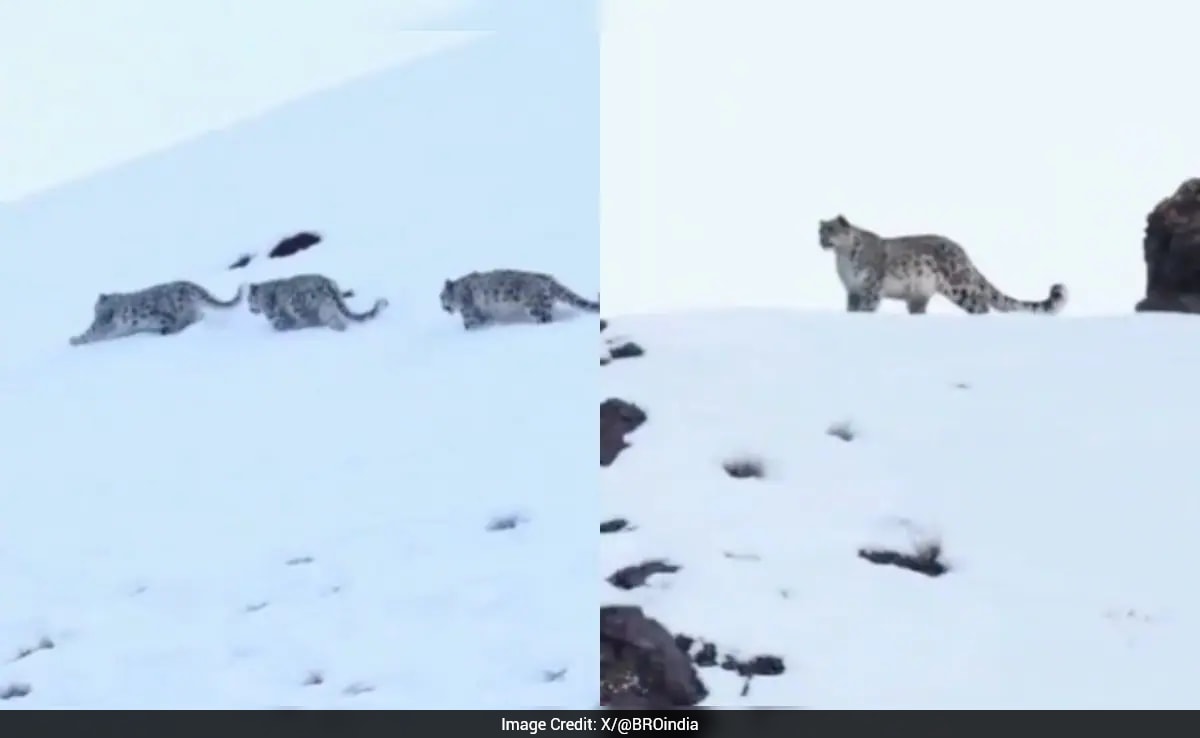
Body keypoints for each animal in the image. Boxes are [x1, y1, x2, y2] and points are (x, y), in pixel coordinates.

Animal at [439, 269, 599, 329]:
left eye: (441, 297)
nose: (442, 307)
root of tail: (548, 279)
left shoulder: (469, 313)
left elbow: (470, 324)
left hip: (535, 306)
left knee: (545, 318)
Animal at [818, 215, 1068, 315]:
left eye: (832, 230)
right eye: (820, 230)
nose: (821, 240)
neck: (844, 259)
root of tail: (962, 253)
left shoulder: (870, 288)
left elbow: (868, 307)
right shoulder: (853, 290)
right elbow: (852, 309)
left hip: (959, 288)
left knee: (981, 304)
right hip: (919, 296)